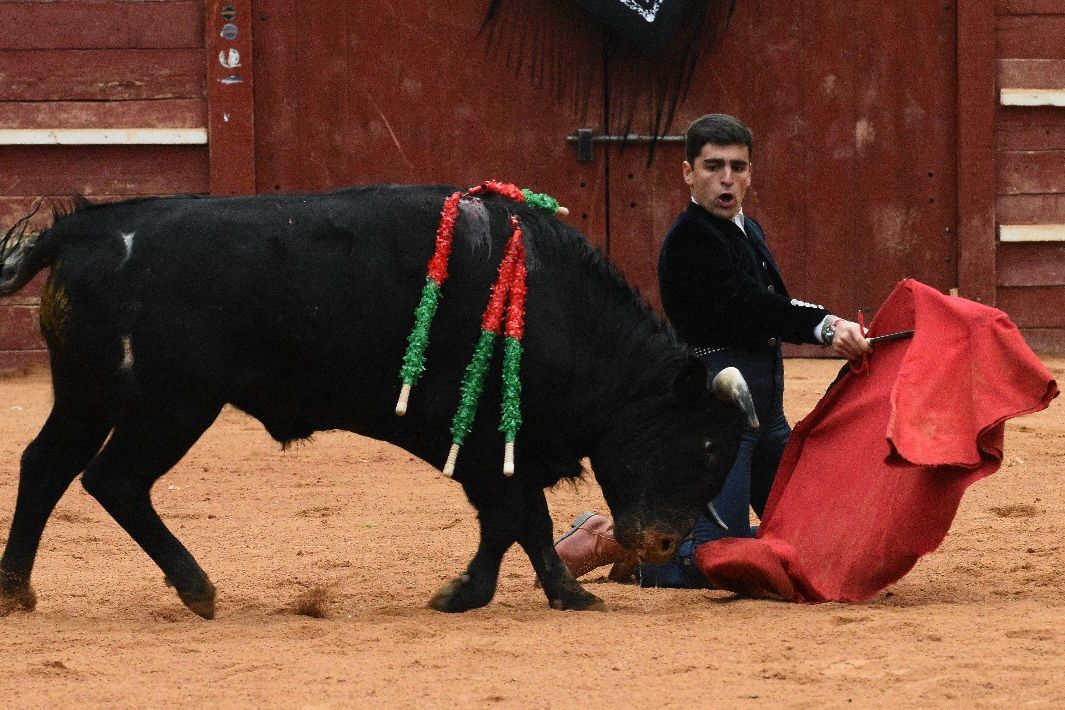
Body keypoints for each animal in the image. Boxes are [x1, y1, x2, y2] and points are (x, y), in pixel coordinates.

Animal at [0, 187, 754, 617]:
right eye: (700, 445)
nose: (663, 543)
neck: (558, 308)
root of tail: (84, 231)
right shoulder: (481, 440)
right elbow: (516, 518)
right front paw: (514, 594)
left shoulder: (495, 448)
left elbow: (514, 522)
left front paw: (518, 593)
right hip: (171, 406)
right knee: (114, 479)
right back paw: (197, 589)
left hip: (88, 394)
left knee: (45, 466)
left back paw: (15, 590)